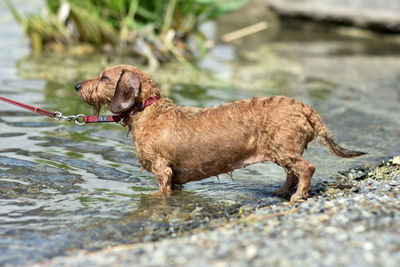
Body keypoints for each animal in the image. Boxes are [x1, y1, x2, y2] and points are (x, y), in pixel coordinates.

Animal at [76, 65, 366, 203]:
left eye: (104, 77)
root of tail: (303, 107)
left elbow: (161, 189)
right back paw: (281, 192)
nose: (77, 85)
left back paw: (297, 196)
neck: (148, 110)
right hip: (283, 151)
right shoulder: (175, 176)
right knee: (292, 173)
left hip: (285, 151)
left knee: (306, 168)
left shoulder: (162, 170)